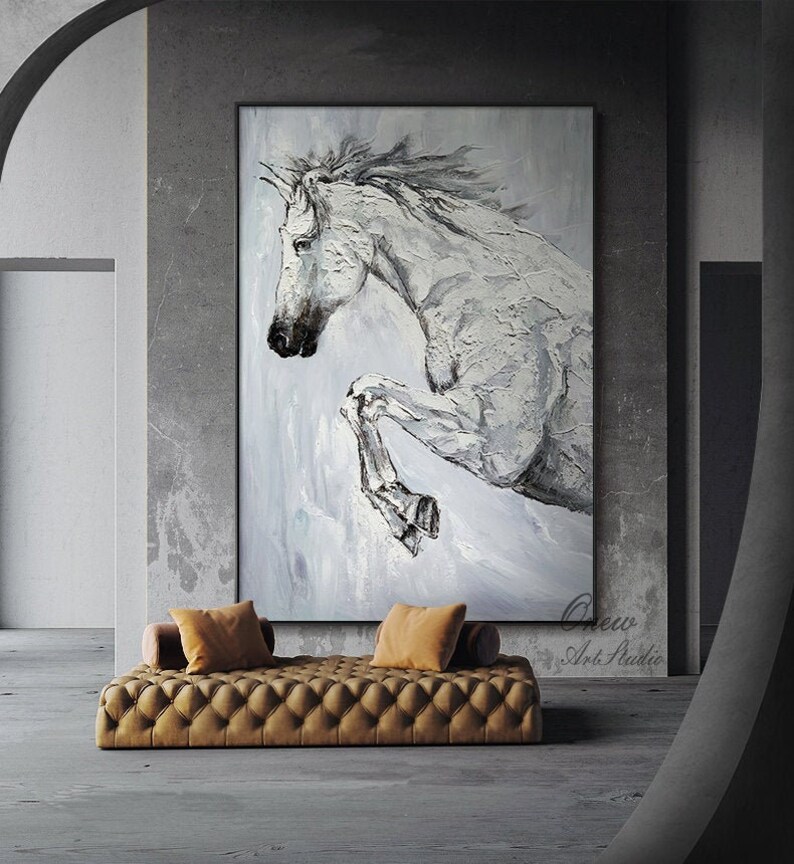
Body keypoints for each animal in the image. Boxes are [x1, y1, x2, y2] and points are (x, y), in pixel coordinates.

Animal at [259, 137, 593, 556]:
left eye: (302, 242)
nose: (278, 339)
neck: (491, 294)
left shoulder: (495, 443)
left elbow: (366, 392)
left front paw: (411, 509)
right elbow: (358, 400)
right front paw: (407, 515)